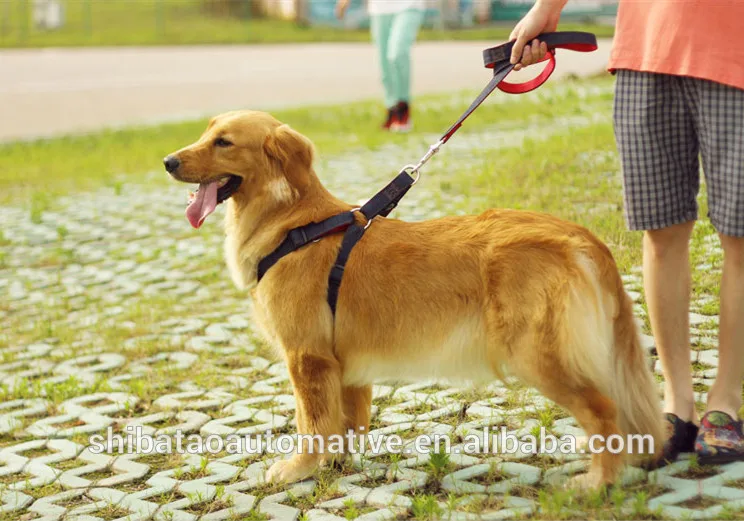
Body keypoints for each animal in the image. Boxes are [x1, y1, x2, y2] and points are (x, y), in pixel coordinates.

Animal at [164, 108, 664, 488]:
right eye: (206, 132)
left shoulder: (306, 357)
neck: (294, 223)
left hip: (537, 354)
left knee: (605, 409)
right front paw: (336, 464)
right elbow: (345, 423)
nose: (168, 161)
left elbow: (312, 424)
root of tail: (576, 236)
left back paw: (598, 481)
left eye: (224, 142)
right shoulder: (344, 366)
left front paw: (297, 469)